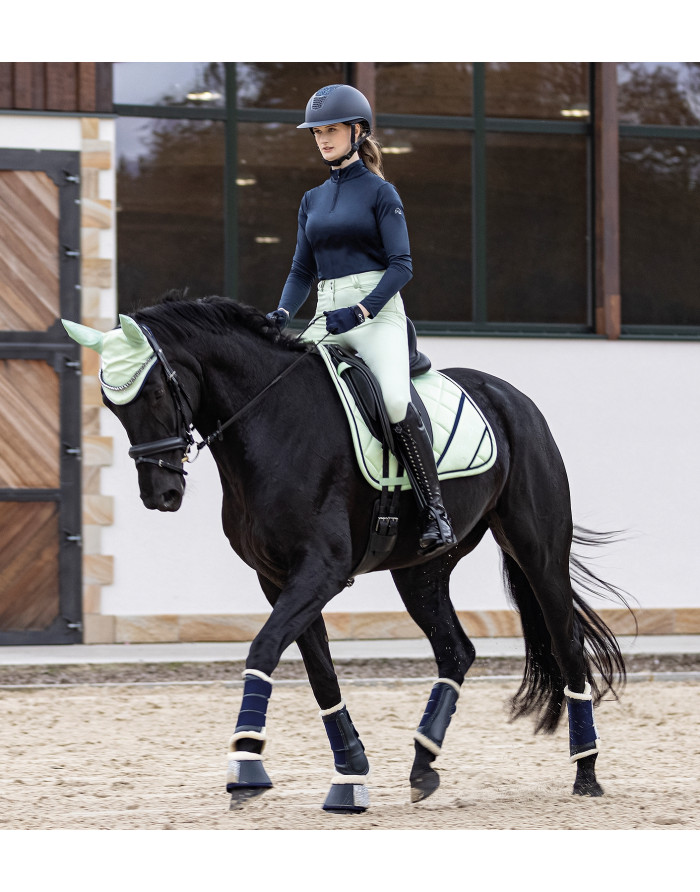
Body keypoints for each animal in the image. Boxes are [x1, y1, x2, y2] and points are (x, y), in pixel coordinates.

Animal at [67, 296, 636, 812]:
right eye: (113, 406)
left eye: (154, 390)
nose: (160, 494)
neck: (270, 422)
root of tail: (510, 396)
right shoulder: (277, 577)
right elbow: (319, 674)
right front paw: (349, 777)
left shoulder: (323, 568)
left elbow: (263, 648)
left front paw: (246, 766)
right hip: (421, 572)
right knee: (456, 649)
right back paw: (422, 765)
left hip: (537, 550)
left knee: (566, 642)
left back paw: (586, 771)